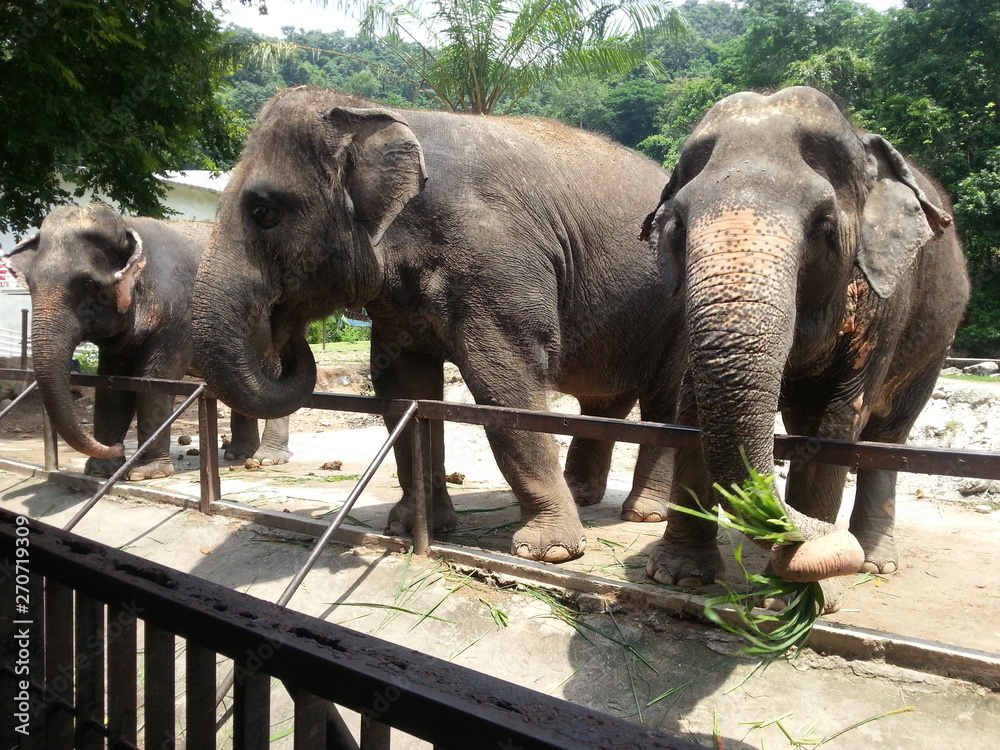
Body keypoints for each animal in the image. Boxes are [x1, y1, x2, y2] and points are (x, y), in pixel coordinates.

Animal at [3, 203, 291, 480]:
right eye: (30, 283)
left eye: (87, 284)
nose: (118, 447)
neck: (127, 224)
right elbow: (111, 385)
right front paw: (100, 471)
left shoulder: (180, 317)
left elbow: (156, 378)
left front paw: (147, 474)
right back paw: (239, 455)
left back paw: (267, 459)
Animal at [190, 86, 686, 563]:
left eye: (264, 212)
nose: (286, 327)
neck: (369, 108)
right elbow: (404, 387)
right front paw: (411, 527)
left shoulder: (497, 260)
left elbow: (502, 380)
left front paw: (550, 551)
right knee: (605, 399)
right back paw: (582, 496)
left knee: (664, 400)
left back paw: (644, 513)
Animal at [639, 86, 970, 587]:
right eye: (676, 226)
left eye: (824, 225)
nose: (829, 545)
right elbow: (694, 405)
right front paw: (680, 575)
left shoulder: (885, 300)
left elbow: (835, 422)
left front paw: (799, 589)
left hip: (937, 344)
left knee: (887, 436)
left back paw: (875, 561)